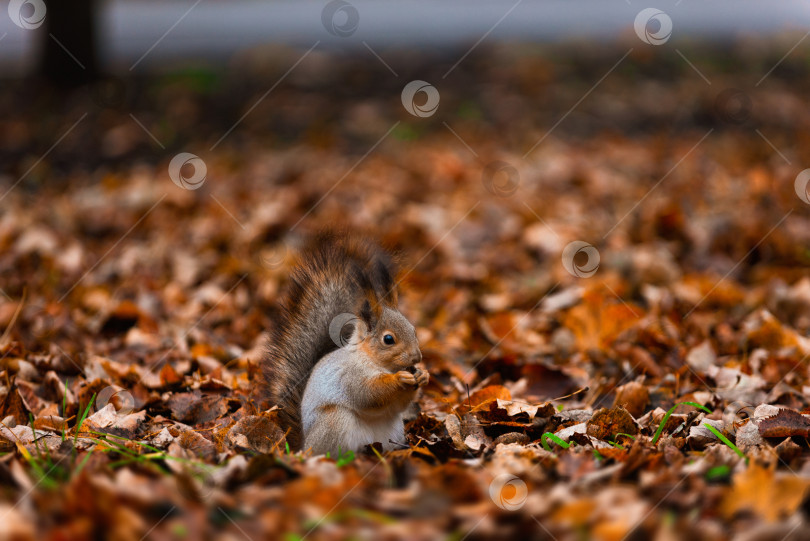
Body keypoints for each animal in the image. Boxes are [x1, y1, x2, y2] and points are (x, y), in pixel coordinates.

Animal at [264, 232, 430, 456]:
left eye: (413, 330)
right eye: (388, 339)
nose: (417, 357)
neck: (373, 361)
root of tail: (304, 445)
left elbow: (399, 406)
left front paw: (423, 375)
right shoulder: (349, 375)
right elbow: (367, 394)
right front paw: (399, 379)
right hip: (334, 422)